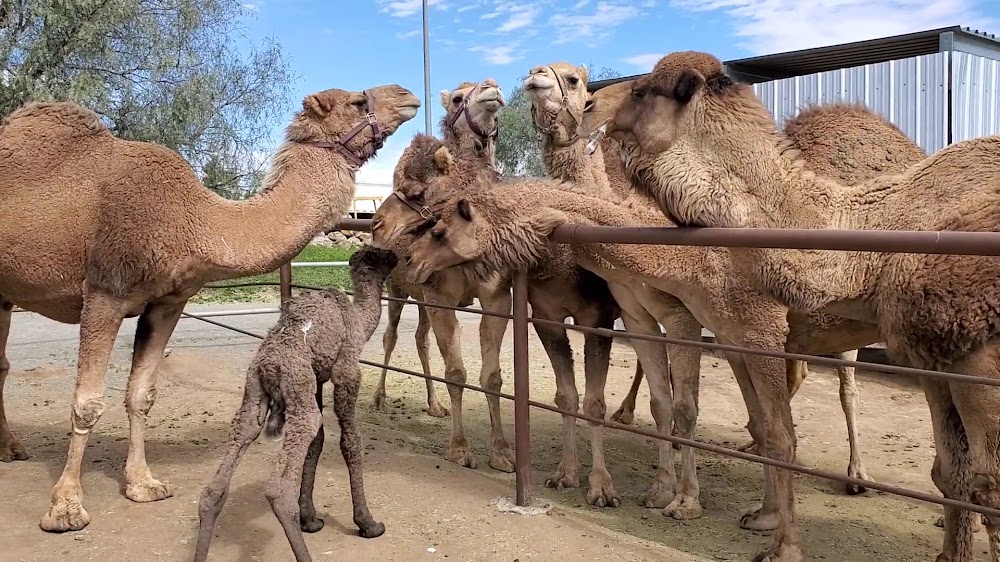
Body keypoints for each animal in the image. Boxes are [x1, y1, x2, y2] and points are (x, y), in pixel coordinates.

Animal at [195, 245, 397, 562]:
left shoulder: (316, 379)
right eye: (381, 254)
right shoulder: (346, 368)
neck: (359, 319)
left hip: (257, 393)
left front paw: (311, 519)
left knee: (220, 476)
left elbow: (318, 443)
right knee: (280, 488)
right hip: (297, 390)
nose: (399, 256)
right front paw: (368, 524)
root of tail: (269, 366)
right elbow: (351, 442)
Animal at [373, 79, 504, 419]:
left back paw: (434, 404)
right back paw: (379, 397)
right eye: (458, 98)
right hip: (397, 288)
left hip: (419, 296)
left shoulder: (492, 295)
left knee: (421, 339)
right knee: (390, 335)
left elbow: (490, 377)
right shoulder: (436, 296)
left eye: (418, 192)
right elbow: (455, 373)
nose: (493, 87)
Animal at [595, 50, 1000, 562]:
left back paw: (858, 478)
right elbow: (953, 472)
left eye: (641, 89)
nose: (589, 103)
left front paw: (780, 544)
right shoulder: (933, 354)